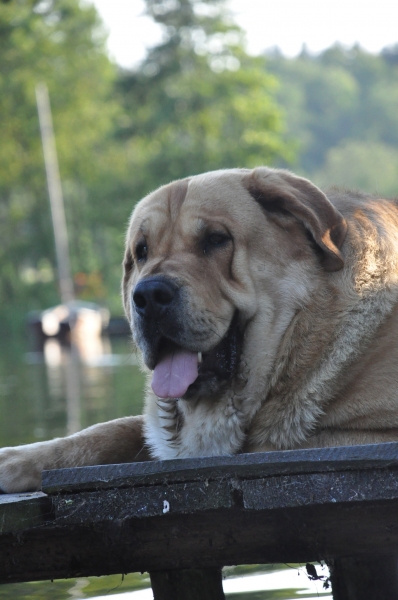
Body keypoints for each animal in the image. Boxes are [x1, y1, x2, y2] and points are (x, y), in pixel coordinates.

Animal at [0, 165, 398, 492]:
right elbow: (114, 429)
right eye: (141, 252)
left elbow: (268, 443)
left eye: (216, 239)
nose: (149, 295)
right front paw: (18, 458)